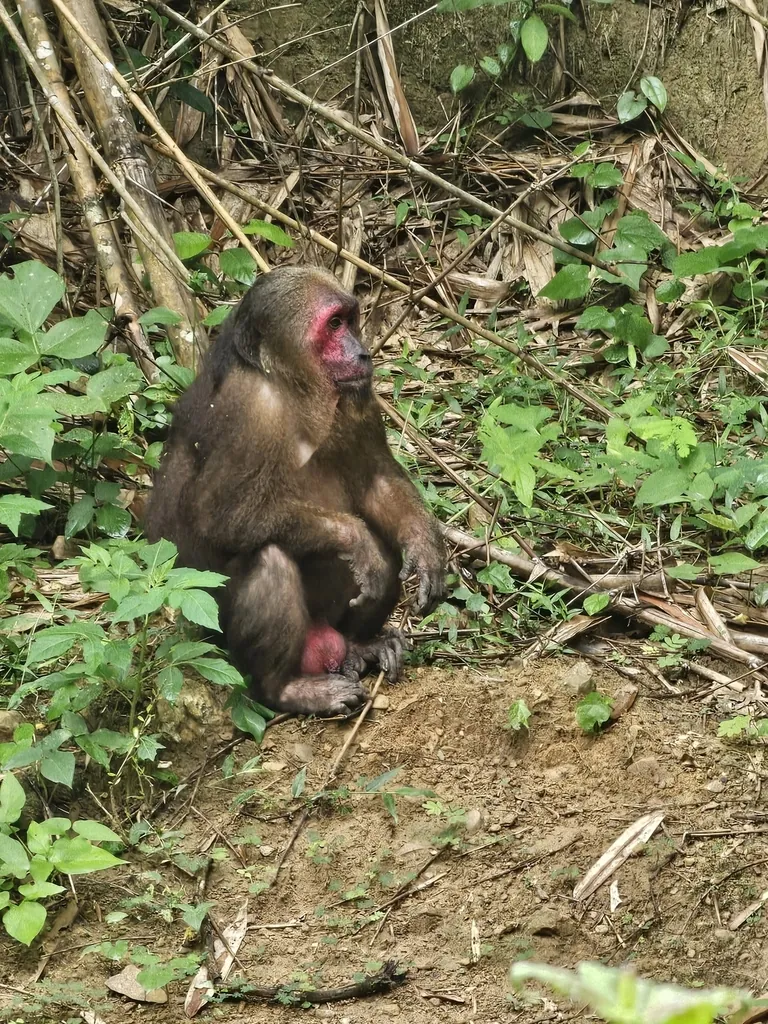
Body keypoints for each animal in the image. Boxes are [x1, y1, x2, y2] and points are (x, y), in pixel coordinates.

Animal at [145, 266, 446, 717]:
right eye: (334, 325)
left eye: (350, 319)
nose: (362, 353)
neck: (293, 389)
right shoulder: (249, 411)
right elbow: (221, 518)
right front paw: (356, 540)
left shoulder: (357, 398)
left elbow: (374, 481)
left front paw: (425, 545)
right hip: (225, 642)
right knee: (270, 559)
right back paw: (285, 689)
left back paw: (361, 645)